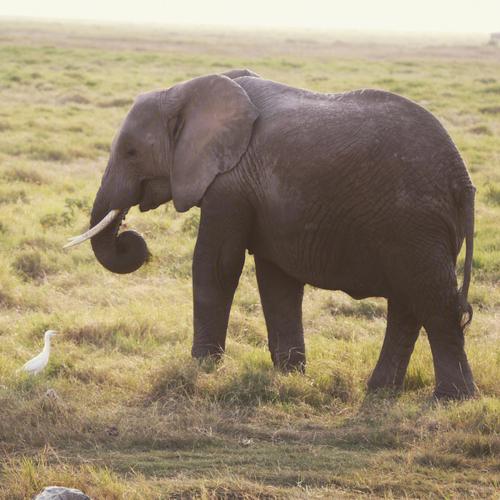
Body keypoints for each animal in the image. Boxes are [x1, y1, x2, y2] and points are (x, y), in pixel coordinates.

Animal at [67, 69, 476, 398]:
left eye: (131, 152)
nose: (130, 237)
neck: (184, 89)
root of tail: (463, 179)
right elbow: (276, 280)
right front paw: (290, 375)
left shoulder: (229, 183)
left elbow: (216, 267)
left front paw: (202, 367)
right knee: (408, 303)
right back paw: (379, 392)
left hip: (415, 223)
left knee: (432, 300)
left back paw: (450, 399)